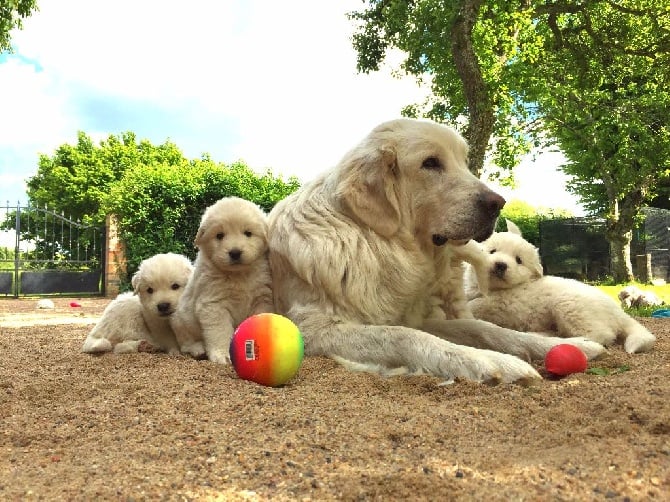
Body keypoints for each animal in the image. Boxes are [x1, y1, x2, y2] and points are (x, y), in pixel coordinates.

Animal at [172, 197, 274, 364]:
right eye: (219, 235)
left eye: (248, 233)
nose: (235, 252)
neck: (239, 275)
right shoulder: (214, 305)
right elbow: (220, 331)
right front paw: (223, 355)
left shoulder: (262, 299)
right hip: (181, 320)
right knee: (186, 343)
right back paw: (198, 349)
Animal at [268, 117, 604, 384]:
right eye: (430, 163)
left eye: (464, 162)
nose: (498, 203)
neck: (374, 243)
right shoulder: (315, 330)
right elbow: (404, 336)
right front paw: (487, 361)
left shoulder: (415, 316)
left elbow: (482, 328)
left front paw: (564, 345)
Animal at [464, 222, 660, 354]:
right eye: (492, 251)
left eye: (518, 260)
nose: (500, 265)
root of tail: (618, 312)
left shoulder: (501, 304)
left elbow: (477, 305)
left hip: (569, 306)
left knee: (600, 335)